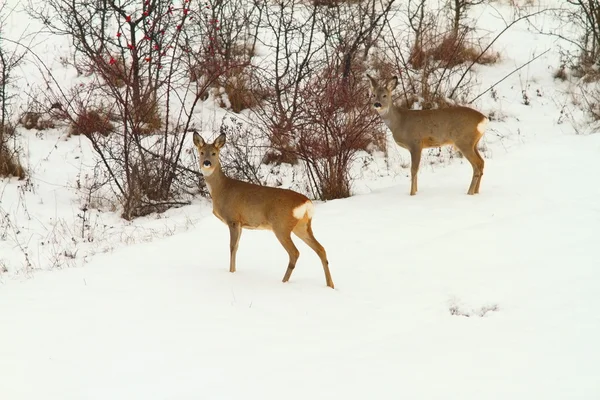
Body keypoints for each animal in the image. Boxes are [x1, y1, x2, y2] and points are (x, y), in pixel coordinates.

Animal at [192, 133, 336, 290]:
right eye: (201, 152)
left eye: (214, 153)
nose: (206, 163)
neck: (221, 189)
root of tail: (306, 203)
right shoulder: (241, 223)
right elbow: (236, 247)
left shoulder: (233, 219)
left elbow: (232, 247)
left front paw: (231, 273)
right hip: (302, 226)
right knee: (321, 249)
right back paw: (331, 285)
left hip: (281, 226)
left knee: (295, 252)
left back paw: (283, 282)